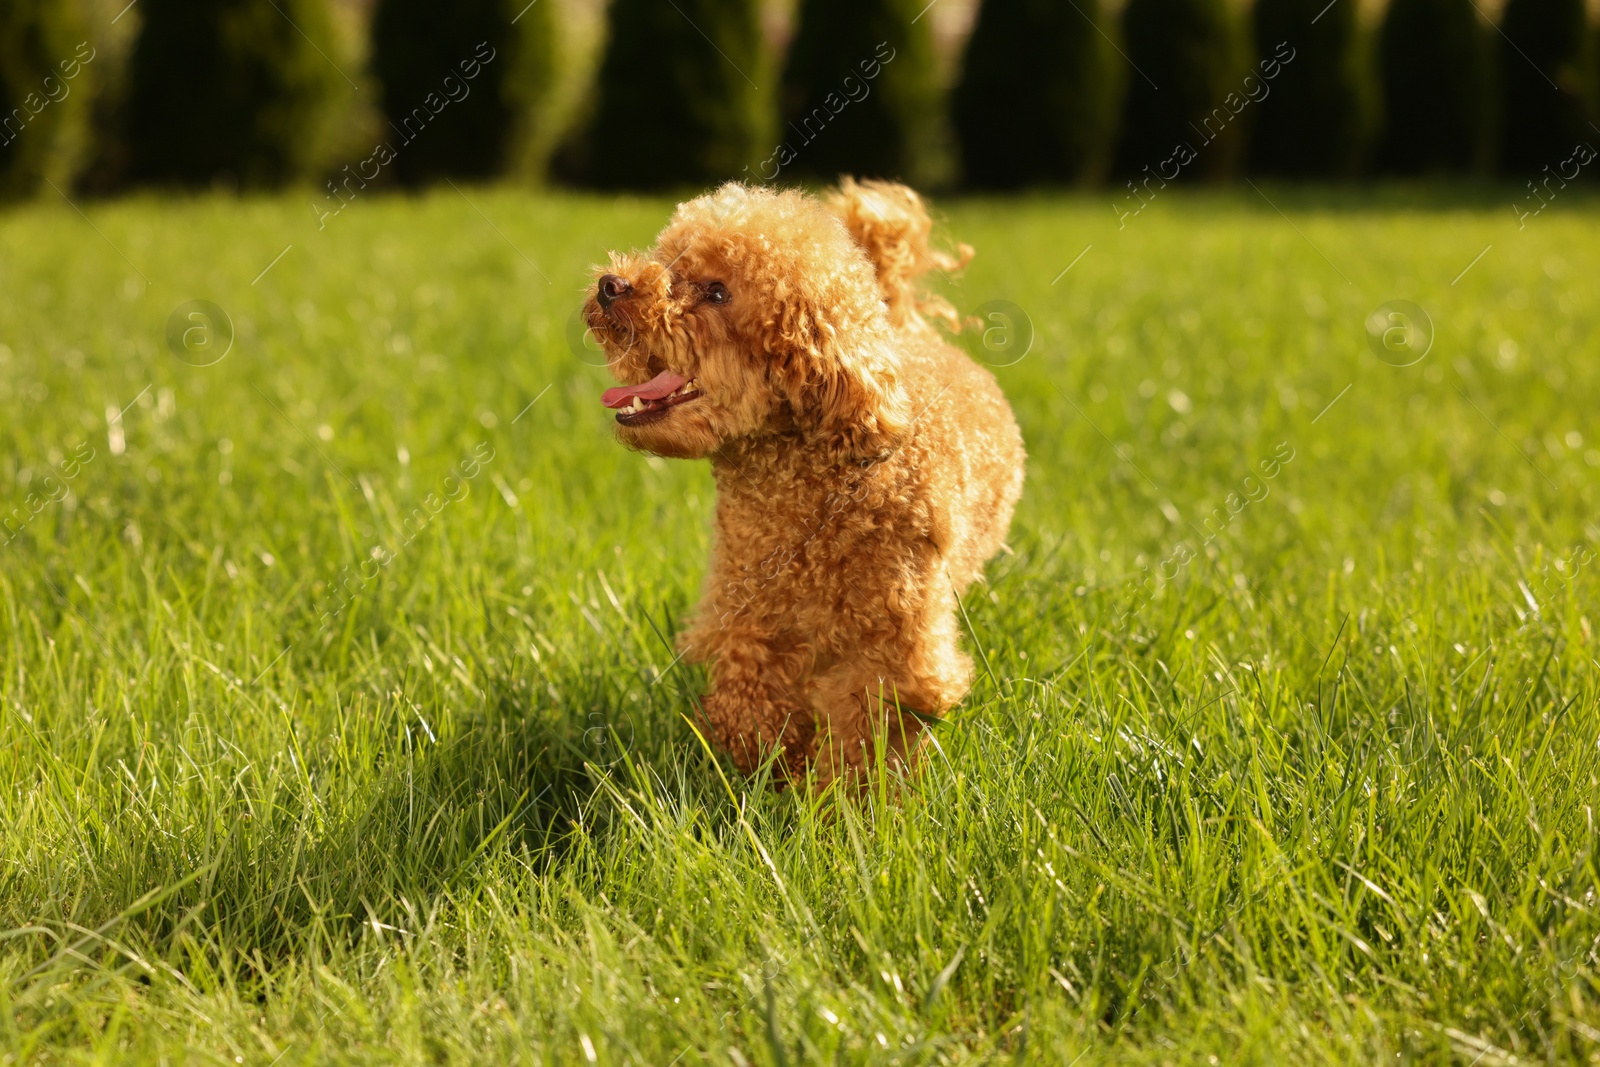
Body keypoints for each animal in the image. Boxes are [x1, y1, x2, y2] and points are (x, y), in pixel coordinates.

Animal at [588, 179, 1024, 790]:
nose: (610, 286)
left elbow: (868, 736)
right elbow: (751, 708)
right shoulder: (750, 613)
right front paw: (775, 775)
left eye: (717, 292)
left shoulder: (891, 646)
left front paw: (845, 802)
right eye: (666, 258)